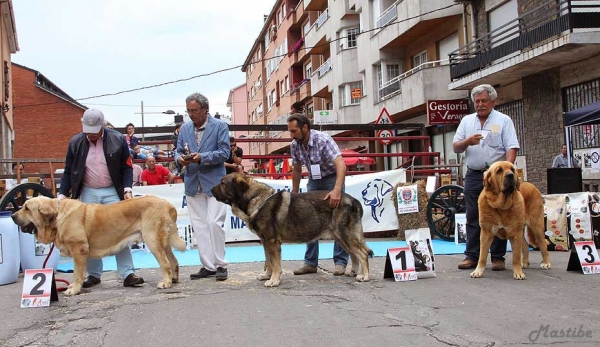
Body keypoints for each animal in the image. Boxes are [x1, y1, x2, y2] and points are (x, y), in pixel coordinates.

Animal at [11, 197, 185, 294]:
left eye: (27, 208)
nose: (12, 215)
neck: (57, 216)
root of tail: (168, 204)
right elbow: (81, 273)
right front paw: (75, 286)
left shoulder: (79, 250)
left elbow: (77, 273)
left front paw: (74, 290)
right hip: (164, 242)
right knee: (174, 260)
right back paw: (174, 279)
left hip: (152, 240)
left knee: (165, 263)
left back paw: (166, 282)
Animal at [211, 174, 370, 288]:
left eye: (223, 183)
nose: (211, 190)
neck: (256, 199)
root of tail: (354, 200)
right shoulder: (265, 242)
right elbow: (268, 261)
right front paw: (267, 275)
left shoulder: (272, 242)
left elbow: (275, 263)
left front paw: (274, 280)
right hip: (340, 237)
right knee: (354, 255)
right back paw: (353, 272)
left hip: (345, 235)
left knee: (362, 254)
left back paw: (364, 276)